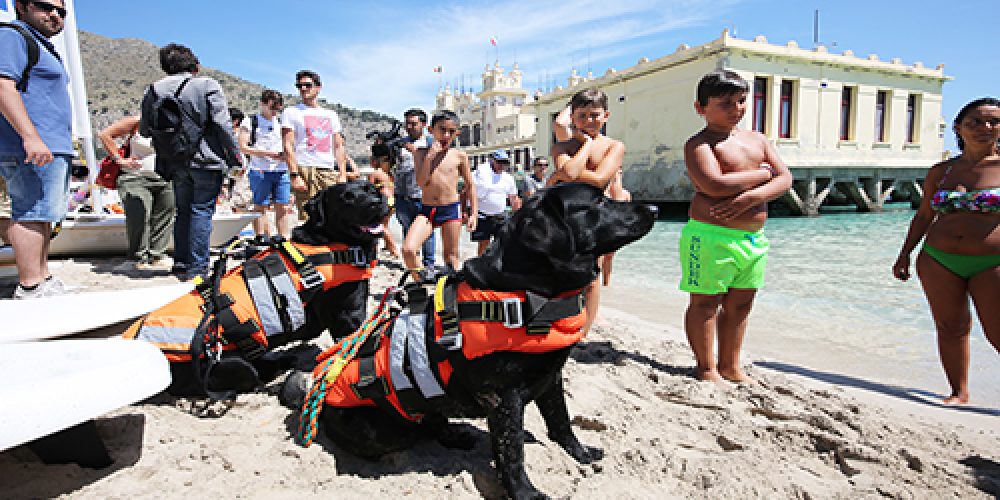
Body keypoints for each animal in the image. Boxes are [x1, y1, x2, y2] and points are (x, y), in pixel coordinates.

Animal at [292, 185, 656, 500]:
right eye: (599, 202)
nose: (654, 208)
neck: (529, 293)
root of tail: (318, 395)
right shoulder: (503, 396)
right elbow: (512, 453)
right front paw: (525, 493)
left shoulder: (551, 377)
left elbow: (561, 422)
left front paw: (579, 454)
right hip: (384, 428)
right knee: (416, 429)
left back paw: (457, 434)